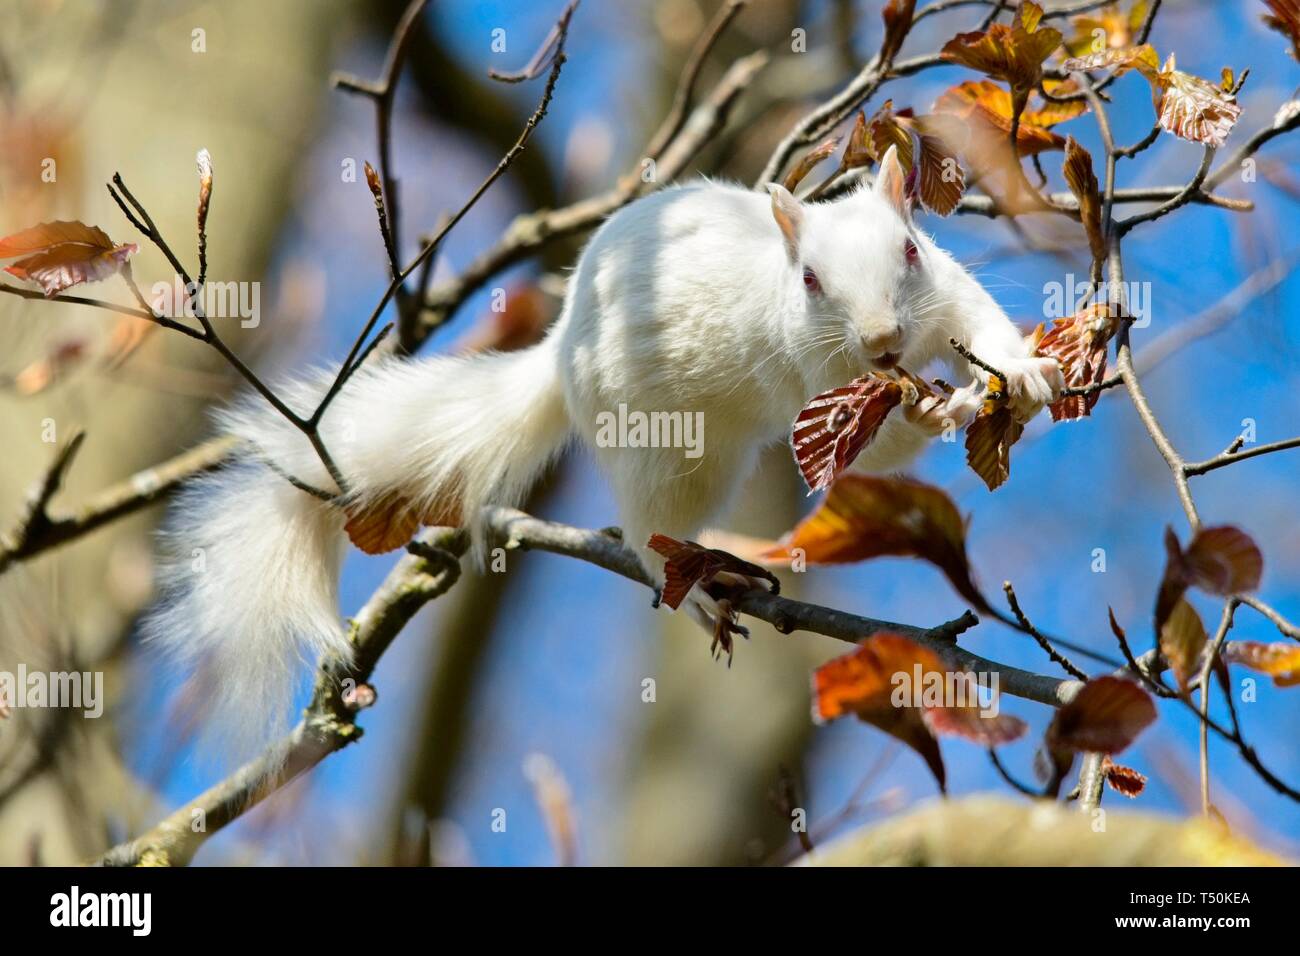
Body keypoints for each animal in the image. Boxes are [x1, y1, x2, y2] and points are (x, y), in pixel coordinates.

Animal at [145, 146, 1063, 752]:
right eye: (810, 282)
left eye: (911, 248)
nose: (879, 341)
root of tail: (559, 355)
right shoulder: (816, 382)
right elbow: (879, 451)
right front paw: (945, 409)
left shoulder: (947, 293)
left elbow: (977, 322)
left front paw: (1019, 372)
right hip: (671, 458)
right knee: (649, 534)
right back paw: (700, 588)